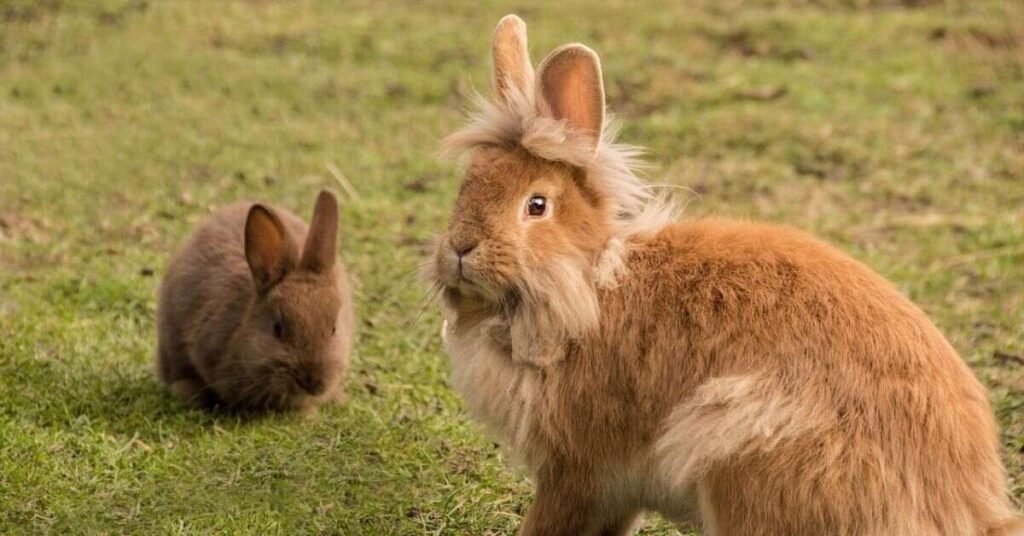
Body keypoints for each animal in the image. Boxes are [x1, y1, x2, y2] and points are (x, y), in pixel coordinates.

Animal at [429, 15, 1023, 536]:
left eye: (536, 205)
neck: (589, 281)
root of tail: (961, 507)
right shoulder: (612, 490)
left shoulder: (577, 470)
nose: (459, 248)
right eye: (468, 184)